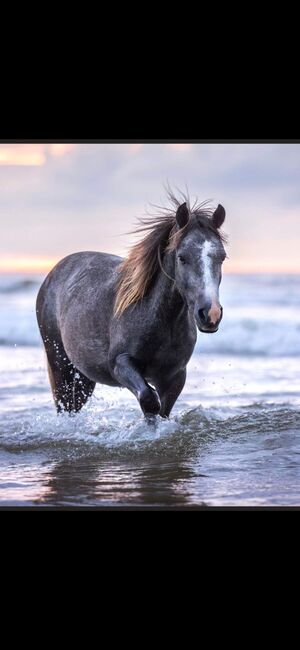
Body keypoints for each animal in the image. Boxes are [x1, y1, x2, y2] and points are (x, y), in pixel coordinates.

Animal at [35, 190, 225, 418]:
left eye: (222, 257)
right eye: (182, 258)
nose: (211, 314)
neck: (157, 317)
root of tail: (53, 274)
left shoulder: (174, 377)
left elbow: (161, 410)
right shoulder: (120, 364)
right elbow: (149, 400)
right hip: (60, 365)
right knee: (65, 406)